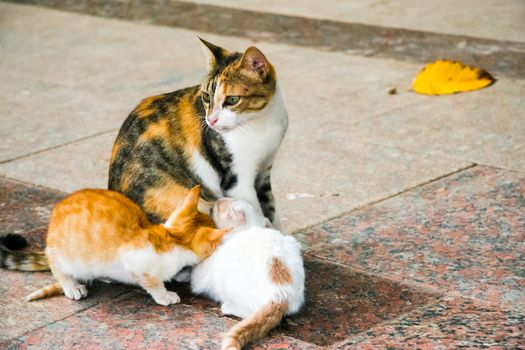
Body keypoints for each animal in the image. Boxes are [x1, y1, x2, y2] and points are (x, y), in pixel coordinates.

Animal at [2, 186, 227, 304]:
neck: (170, 238)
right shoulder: (134, 258)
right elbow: (151, 282)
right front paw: (164, 295)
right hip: (64, 255)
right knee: (58, 268)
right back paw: (71, 286)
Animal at [107, 39, 286, 230]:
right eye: (206, 96)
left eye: (232, 99)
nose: (211, 120)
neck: (260, 122)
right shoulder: (236, 179)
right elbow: (253, 209)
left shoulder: (264, 170)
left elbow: (271, 208)